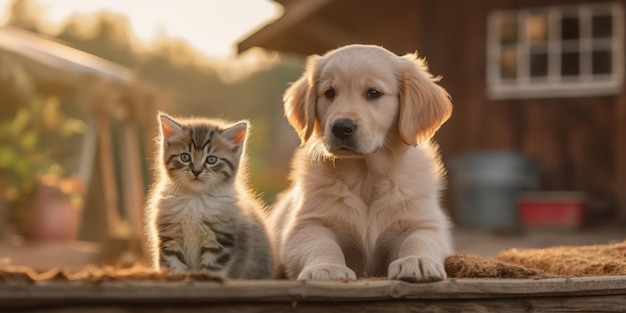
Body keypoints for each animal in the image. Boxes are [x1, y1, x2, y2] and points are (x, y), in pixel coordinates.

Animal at [146, 112, 276, 278]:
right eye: (185, 157)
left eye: (211, 159)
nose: (196, 171)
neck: (195, 198)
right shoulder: (169, 238)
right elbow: (174, 267)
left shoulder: (220, 241)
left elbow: (210, 270)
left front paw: (204, 279)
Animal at [270, 43, 450, 280]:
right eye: (329, 93)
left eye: (373, 93)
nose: (341, 127)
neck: (366, 173)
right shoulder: (307, 224)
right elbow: (322, 244)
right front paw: (326, 268)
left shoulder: (423, 221)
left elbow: (418, 238)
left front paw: (417, 260)